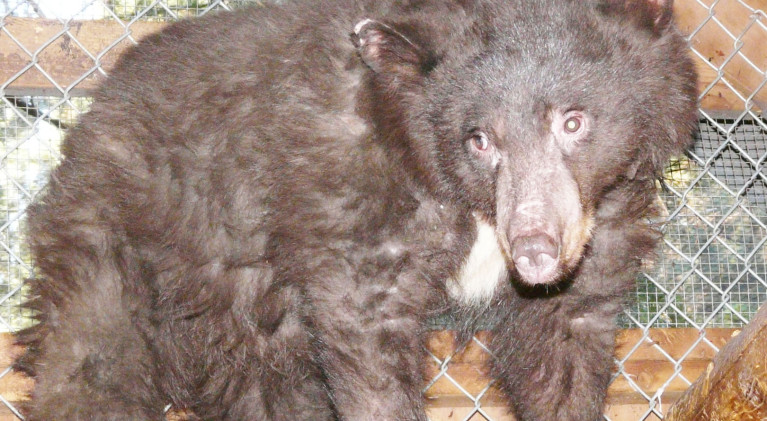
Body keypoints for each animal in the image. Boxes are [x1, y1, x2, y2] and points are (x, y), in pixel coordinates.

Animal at [15, 0, 698, 420]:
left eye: (574, 121)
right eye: (479, 140)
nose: (534, 251)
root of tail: (96, 110)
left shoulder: (600, 219)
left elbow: (565, 341)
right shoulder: (351, 204)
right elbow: (367, 337)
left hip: (245, 319)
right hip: (115, 236)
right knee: (92, 359)